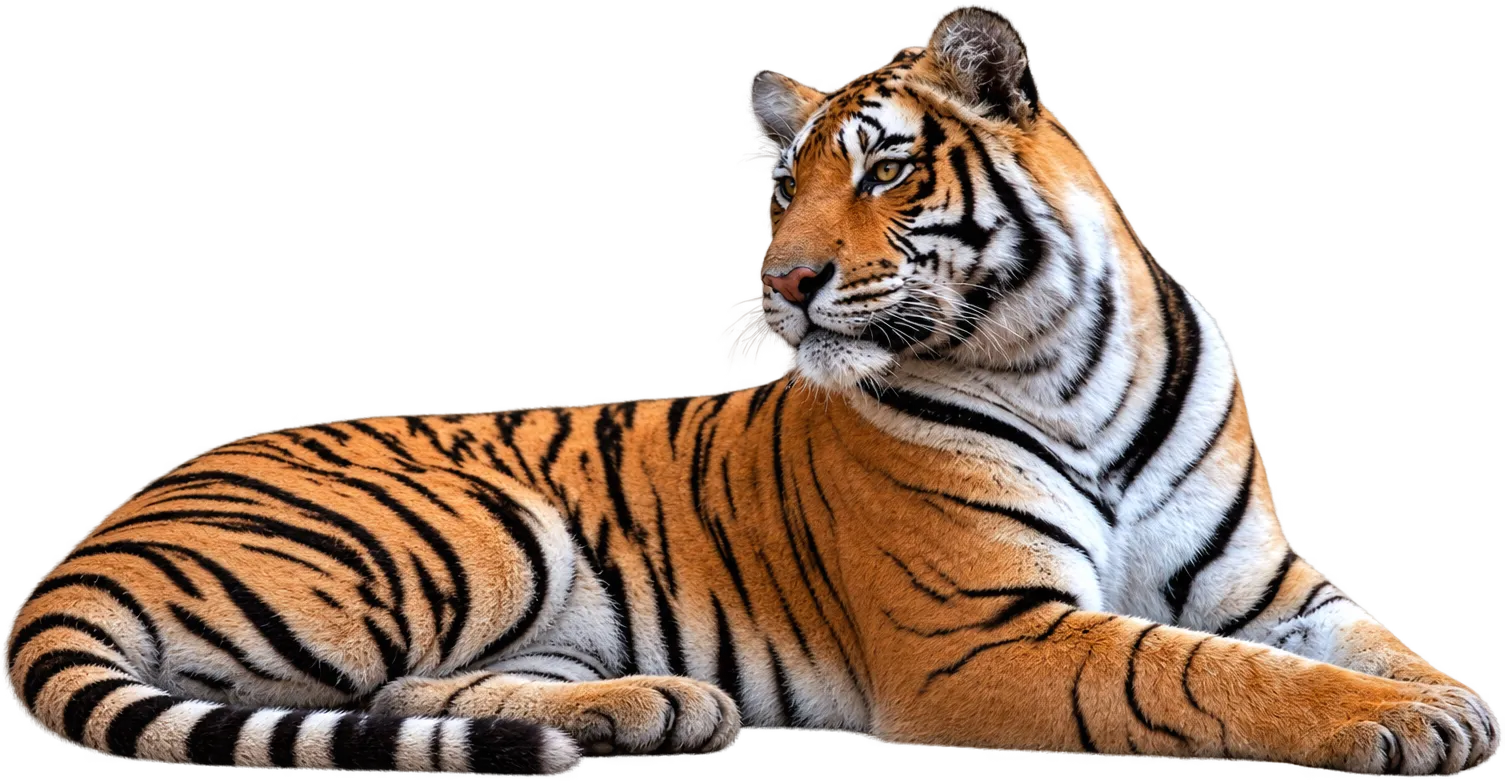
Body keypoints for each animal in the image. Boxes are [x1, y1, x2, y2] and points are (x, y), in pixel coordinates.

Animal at [8, 6, 1498, 776]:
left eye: (886, 169)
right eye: (786, 184)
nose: (781, 281)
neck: (1066, 361)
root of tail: (106, 520)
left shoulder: (1271, 588)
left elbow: (1365, 639)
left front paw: (1448, 701)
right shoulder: (984, 631)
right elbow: (1193, 668)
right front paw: (1388, 723)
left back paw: (646, 705)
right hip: (476, 522)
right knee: (382, 690)